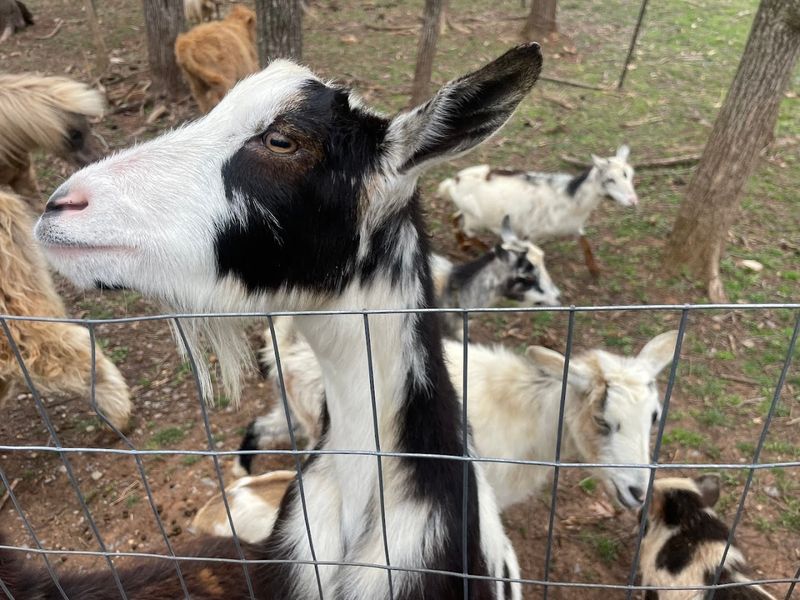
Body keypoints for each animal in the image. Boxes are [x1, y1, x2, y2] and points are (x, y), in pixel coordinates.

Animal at [240, 325, 677, 511]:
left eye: (655, 417)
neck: (531, 414)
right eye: (602, 421)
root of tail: (290, 352)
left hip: (295, 413)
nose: (638, 493)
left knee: (260, 429)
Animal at [438, 145, 638, 277]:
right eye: (610, 179)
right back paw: (483, 247)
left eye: (629, 174)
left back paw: (463, 245)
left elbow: (585, 242)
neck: (569, 198)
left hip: (467, 212)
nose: (633, 201)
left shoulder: (574, 226)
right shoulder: (530, 232)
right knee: (468, 230)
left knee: (454, 218)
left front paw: (594, 270)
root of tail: (453, 182)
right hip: (477, 218)